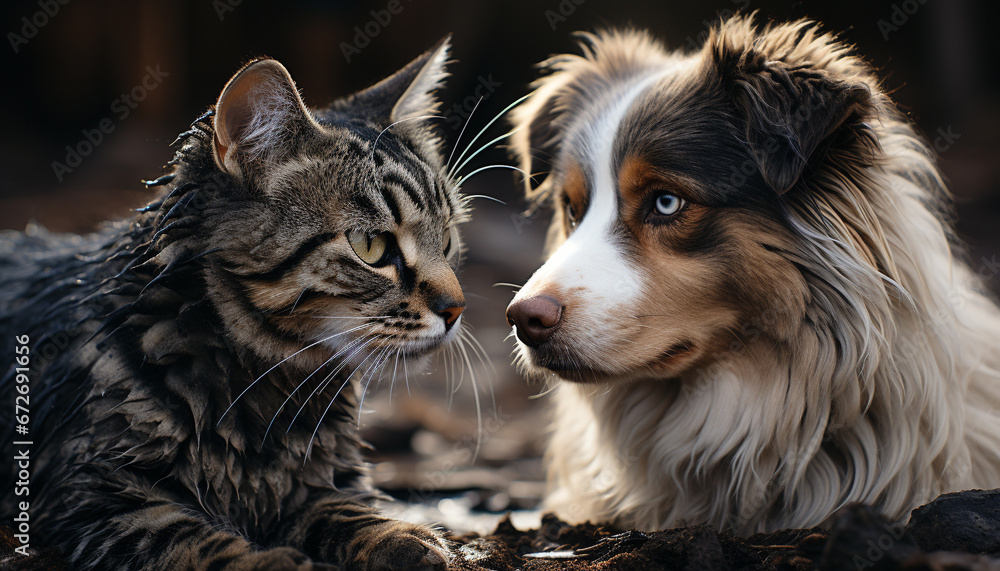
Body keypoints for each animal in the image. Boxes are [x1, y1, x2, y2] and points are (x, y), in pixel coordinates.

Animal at [0, 36, 464, 571]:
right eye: (371, 246)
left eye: (447, 240)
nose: (457, 308)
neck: (271, 394)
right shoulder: (97, 493)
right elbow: (196, 542)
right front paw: (279, 562)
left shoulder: (323, 485)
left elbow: (351, 511)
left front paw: (404, 538)